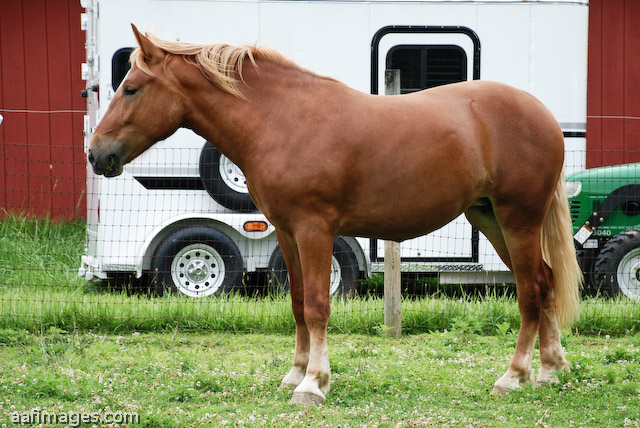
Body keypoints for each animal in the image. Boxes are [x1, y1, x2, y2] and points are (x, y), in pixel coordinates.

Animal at [88, 24, 582, 405]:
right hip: (491, 218)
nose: (96, 154)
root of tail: (543, 116)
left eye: (131, 88)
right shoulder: (286, 232)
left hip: (518, 219)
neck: (282, 120)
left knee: (530, 290)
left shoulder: (314, 230)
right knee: (544, 280)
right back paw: (550, 370)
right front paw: (295, 373)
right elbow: (296, 302)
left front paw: (312, 384)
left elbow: (318, 305)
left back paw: (514, 376)